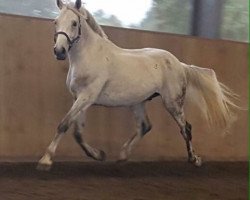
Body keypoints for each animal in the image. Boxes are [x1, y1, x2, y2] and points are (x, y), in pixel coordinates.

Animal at [36, 0, 236, 170]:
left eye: (74, 23)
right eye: (55, 22)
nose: (59, 51)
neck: (89, 56)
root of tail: (180, 64)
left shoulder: (87, 97)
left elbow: (63, 125)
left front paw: (45, 160)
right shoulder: (80, 98)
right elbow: (77, 132)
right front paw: (99, 154)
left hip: (173, 103)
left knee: (185, 128)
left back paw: (194, 159)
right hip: (138, 102)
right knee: (145, 126)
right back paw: (122, 156)